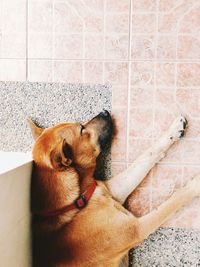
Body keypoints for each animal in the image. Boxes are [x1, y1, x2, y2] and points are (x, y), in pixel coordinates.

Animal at [29, 111, 200, 267]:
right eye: (81, 129)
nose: (105, 111)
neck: (75, 203)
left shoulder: (114, 190)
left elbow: (147, 155)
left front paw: (173, 130)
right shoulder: (137, 228)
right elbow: (173, 202)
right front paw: (195, 185)